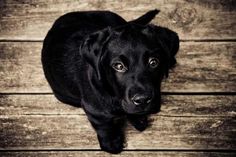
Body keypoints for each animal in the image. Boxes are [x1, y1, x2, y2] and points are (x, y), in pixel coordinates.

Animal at [42, 9, 179, 154]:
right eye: (118, 66)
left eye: (153, 62)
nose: (142, 100)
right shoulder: (93, 109)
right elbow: (104, 125)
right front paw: (111, 143)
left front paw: (138, 119)